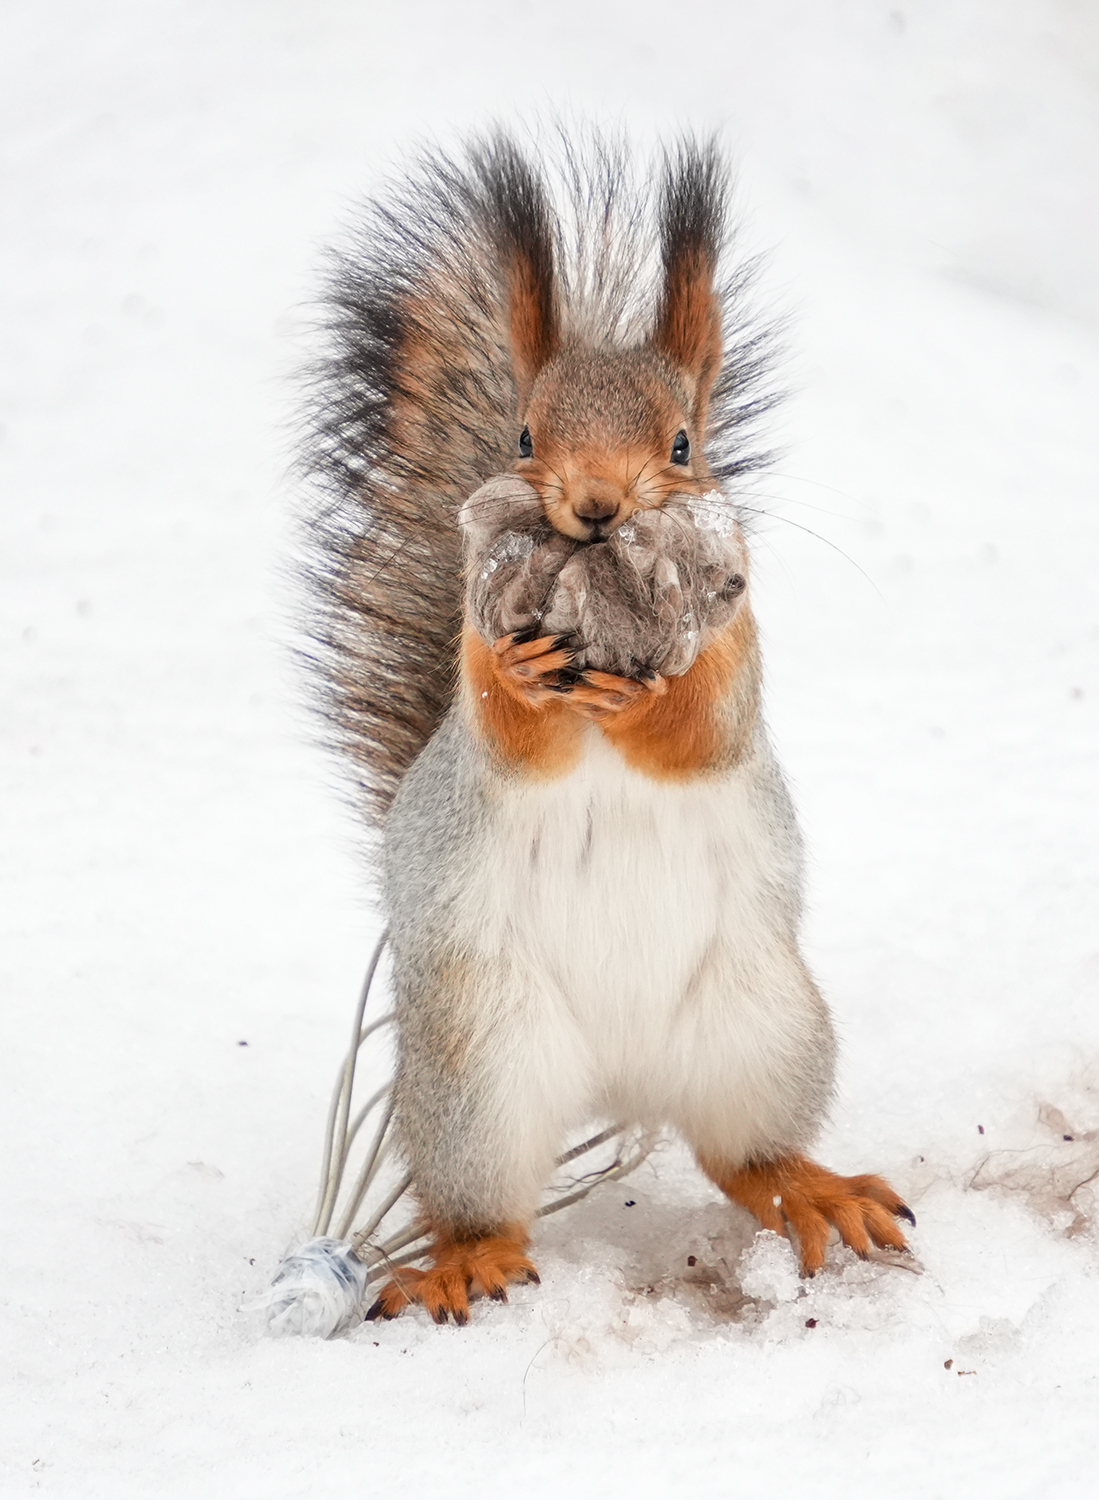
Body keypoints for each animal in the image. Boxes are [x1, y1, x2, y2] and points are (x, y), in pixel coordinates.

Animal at [301, 130, 914, 1325]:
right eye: (524, 435)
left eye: (681, 444)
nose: (594, 505)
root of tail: (618, 1084)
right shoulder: (479, 700)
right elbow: (507, 729)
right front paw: (528, 677)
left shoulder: (739, 656)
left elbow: (704, 727)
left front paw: (645, 702)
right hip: (479, 1069)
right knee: (490, 1201)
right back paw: (469, 1260)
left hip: (761, 1028)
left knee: (745, 1158)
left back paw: (816, 1193)